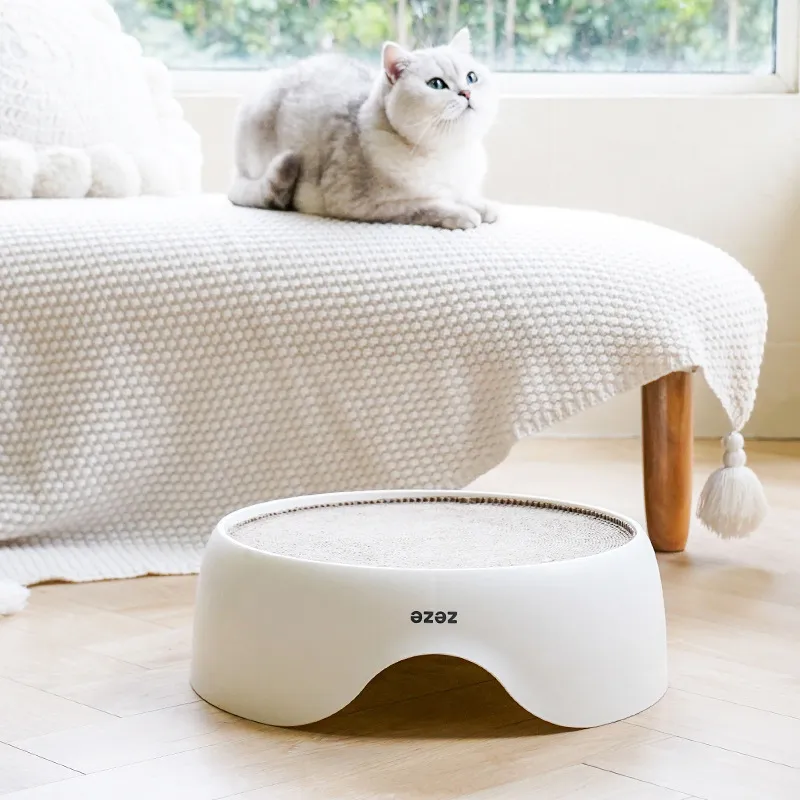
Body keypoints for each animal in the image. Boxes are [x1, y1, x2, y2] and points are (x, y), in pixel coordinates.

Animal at [228, 28, 499, 230]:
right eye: (436, 84)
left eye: (472, 77)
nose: (466, 93)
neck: (449, 154)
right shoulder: (367, 204)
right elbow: (428, 205)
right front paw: (464, 214)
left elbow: (466, 196)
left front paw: (483, 206)